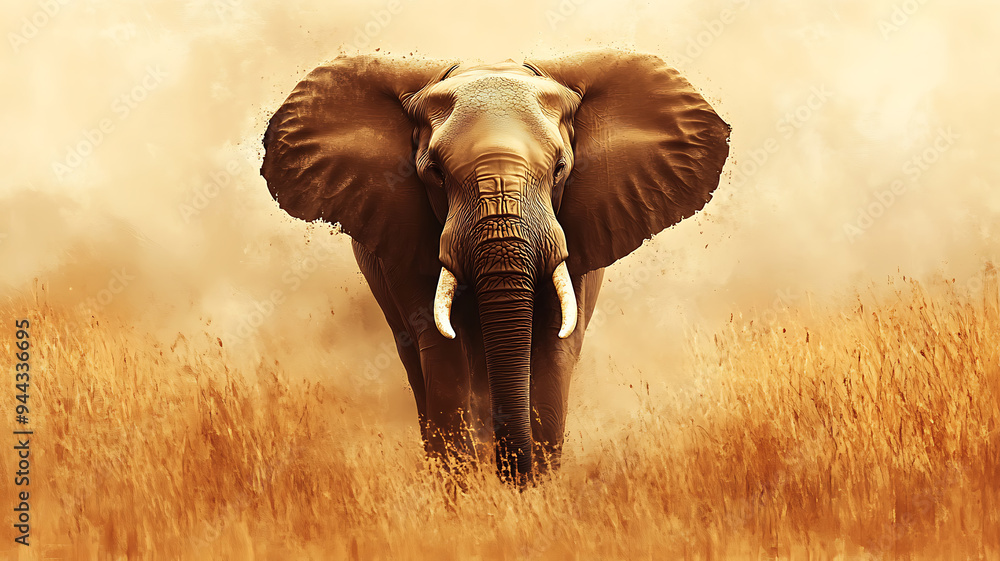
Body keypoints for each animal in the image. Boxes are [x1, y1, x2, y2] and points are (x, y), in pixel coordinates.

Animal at [260, 49, 730, 484]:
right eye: (435, 173)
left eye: (560, 169)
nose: (509, 475)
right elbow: (443, 352)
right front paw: (463, 496)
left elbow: (554, 347)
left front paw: (534, 493)